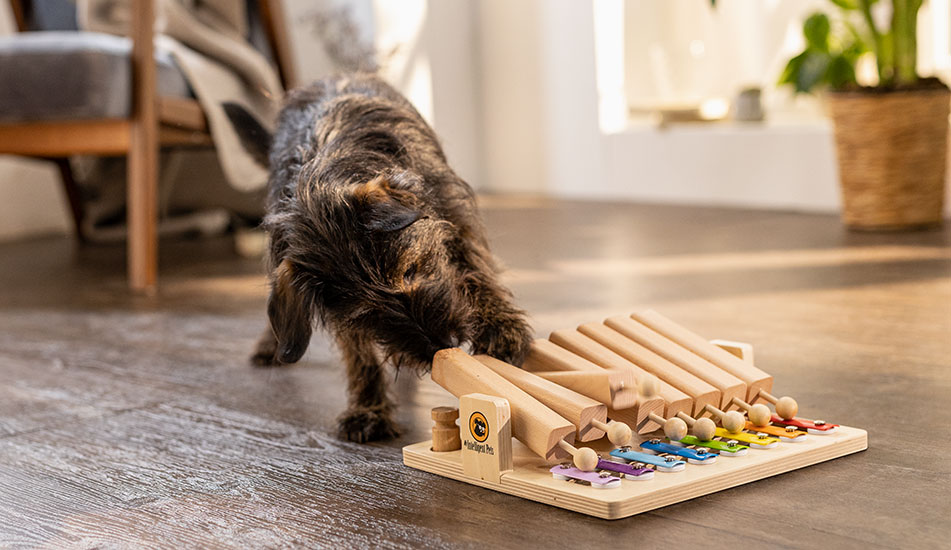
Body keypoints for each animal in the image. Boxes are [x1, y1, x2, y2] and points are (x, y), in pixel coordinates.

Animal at [224, 74, 536, 444]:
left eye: (411, 270)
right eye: (368, 315)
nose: (444, 344)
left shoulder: (454, 217)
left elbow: (476, 271)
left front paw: (501, 328)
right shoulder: (337, 312)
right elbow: (358, 354)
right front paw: (368, 408)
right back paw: (271, 344)